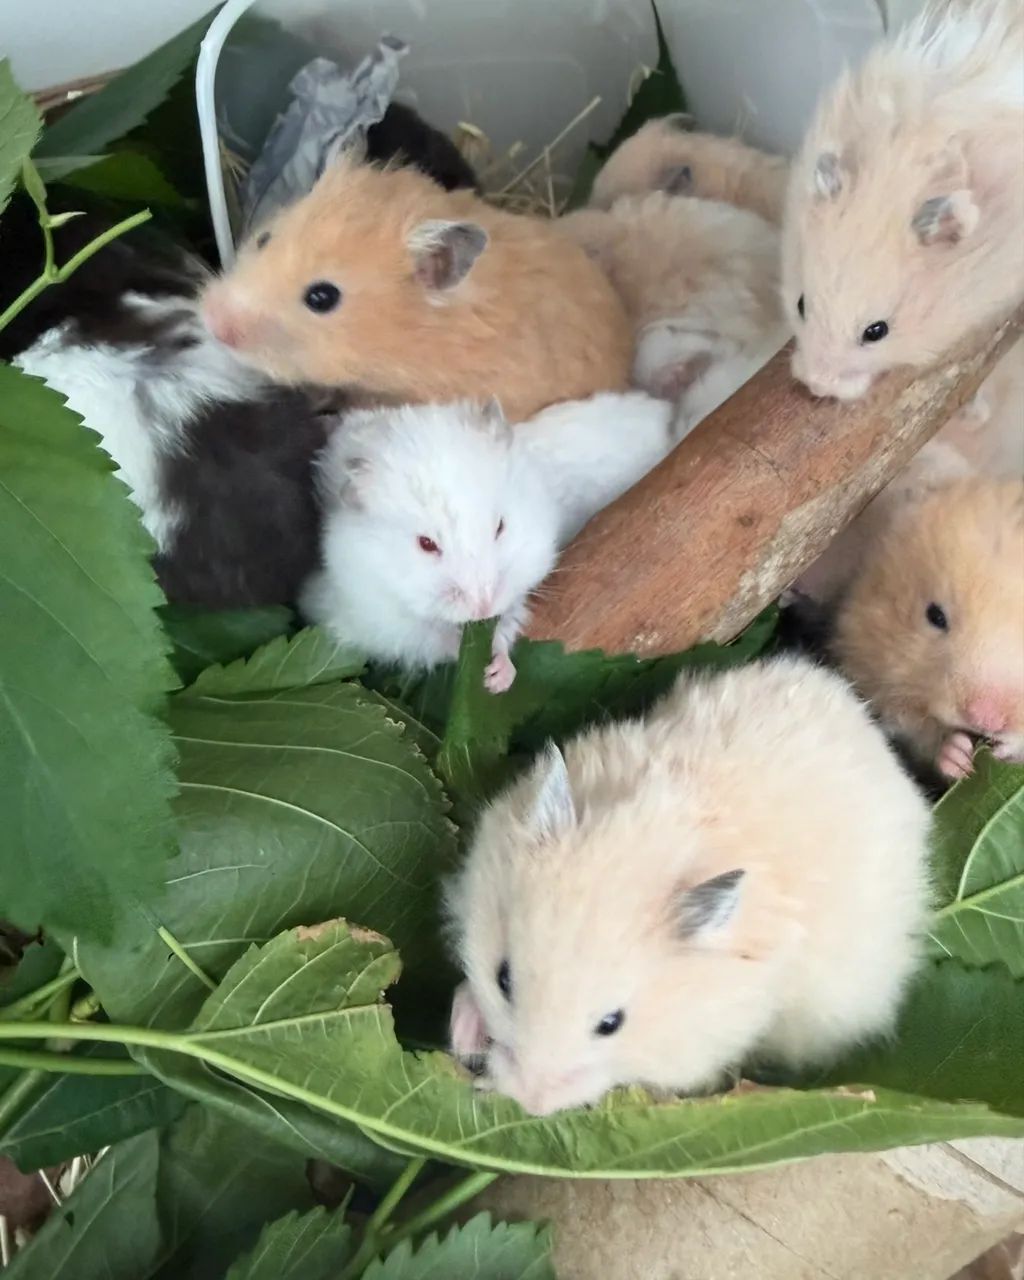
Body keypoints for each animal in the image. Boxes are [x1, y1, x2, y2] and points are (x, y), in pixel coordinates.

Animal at [302, 392, 677, 689]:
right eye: (426, 544)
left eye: (500, 526)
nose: (483, 606)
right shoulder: (371, 617)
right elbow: (430, 638)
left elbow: (508, 623)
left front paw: (497, 677)